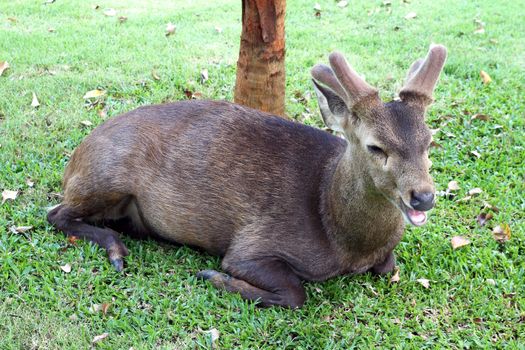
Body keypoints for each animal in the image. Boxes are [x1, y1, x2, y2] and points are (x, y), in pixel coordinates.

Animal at [47, 44, 446, 308]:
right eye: (375, 147)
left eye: (430, 141)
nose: (423, 196)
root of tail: (73, 162)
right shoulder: (252, 244)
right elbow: (294, 293)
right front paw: (215, 277)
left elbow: (389, 266)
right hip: (106, 175)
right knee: (55, 214)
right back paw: (116, 250)